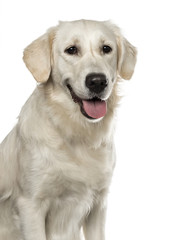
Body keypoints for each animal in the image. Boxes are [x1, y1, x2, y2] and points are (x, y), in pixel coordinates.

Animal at [0, 20, 136, 240]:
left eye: (106, 48)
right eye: (71, 50)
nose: (97, 81)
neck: (75, 131)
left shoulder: (98, 204)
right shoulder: (31, 205)